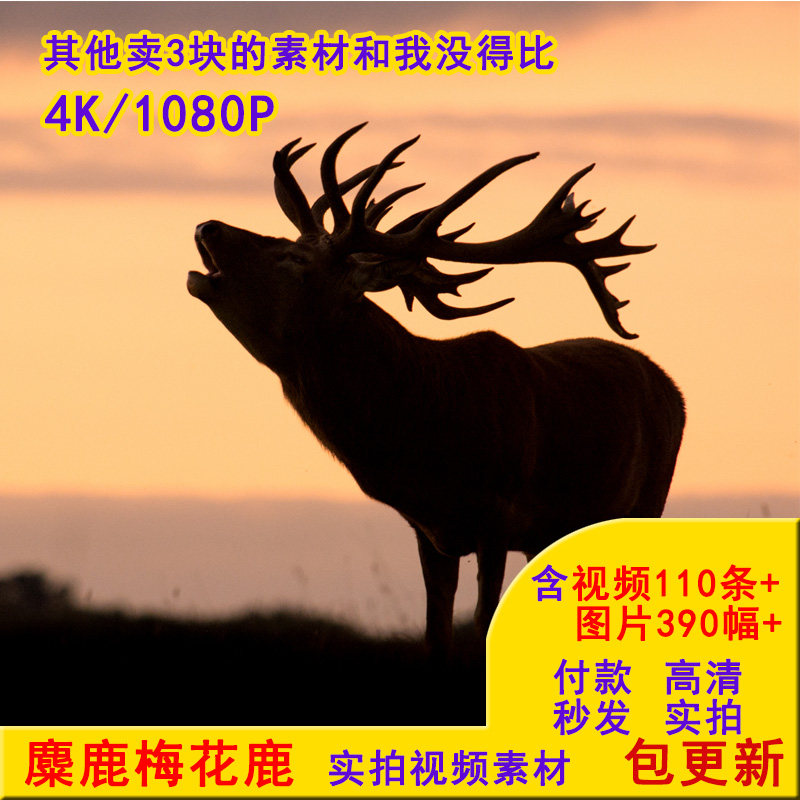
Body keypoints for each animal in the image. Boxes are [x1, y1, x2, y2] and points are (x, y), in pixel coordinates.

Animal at [187, 123, 685, 657]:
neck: (431, 437)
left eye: (294, 257)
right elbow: (436, 633)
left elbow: (484, 623)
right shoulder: (430, 529)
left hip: (647, 502)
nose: (208, 227)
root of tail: (670, 386)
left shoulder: (499, 511)